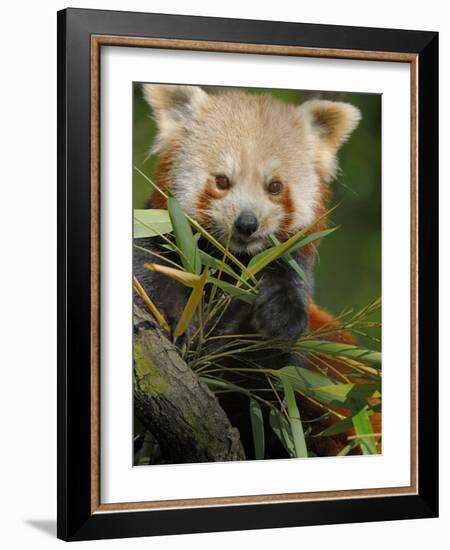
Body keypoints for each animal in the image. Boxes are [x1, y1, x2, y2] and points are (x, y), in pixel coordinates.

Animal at [134, 85, 380, 458]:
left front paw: (277, 316)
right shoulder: (165, 245)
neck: (228, 263)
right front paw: (175, 322)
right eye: (222, 181)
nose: (247, 223)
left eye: (275, 186)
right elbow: (151, 281)